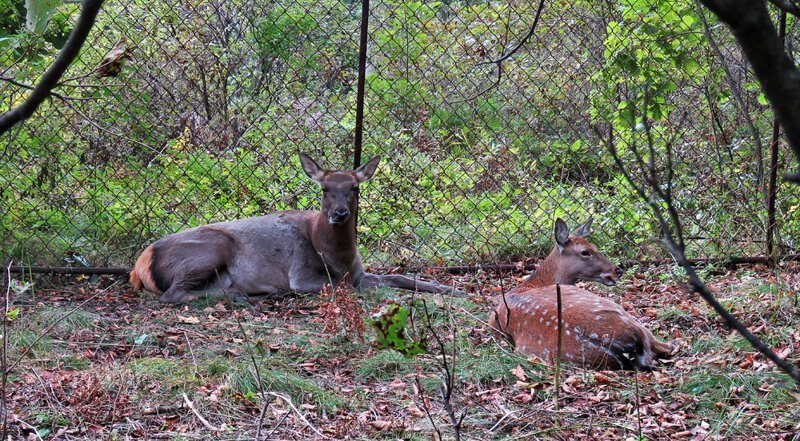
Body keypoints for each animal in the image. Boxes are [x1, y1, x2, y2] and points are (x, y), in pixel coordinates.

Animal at [129, 152, 466, 302]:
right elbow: (340, 287)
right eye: (325, 188)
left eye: (355, 188)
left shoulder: (359, 274)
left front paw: (451, 289)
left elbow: (400, 276)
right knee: (171, 295)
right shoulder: (300, 275)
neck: (336, 257)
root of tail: (138, 267)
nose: (340, 214)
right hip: (212, 249)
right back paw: (250, 295)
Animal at [490, 218, 672, 370]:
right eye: (585, 252)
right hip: (625, 315)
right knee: (668, 345)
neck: (528, 285)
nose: (617, 270)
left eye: (595, 247)